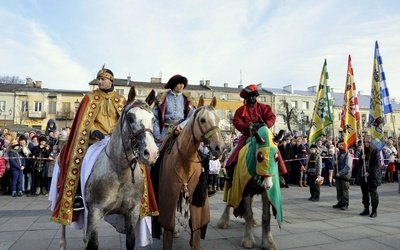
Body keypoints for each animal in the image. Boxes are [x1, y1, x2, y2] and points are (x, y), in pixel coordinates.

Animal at [59, 90, 159, 250]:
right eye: (130, 118)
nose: (151, 153)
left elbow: (130, 242)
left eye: (153, 119)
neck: (121, 175)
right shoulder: (95, 212)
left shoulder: (132, 212)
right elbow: (93, 244)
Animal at [155, 96, 227, 250]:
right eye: (203, 120)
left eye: (218, 119)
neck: (184, 160)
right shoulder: (169, 195)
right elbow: (167, 231)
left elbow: (195, 233)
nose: (220, 148)